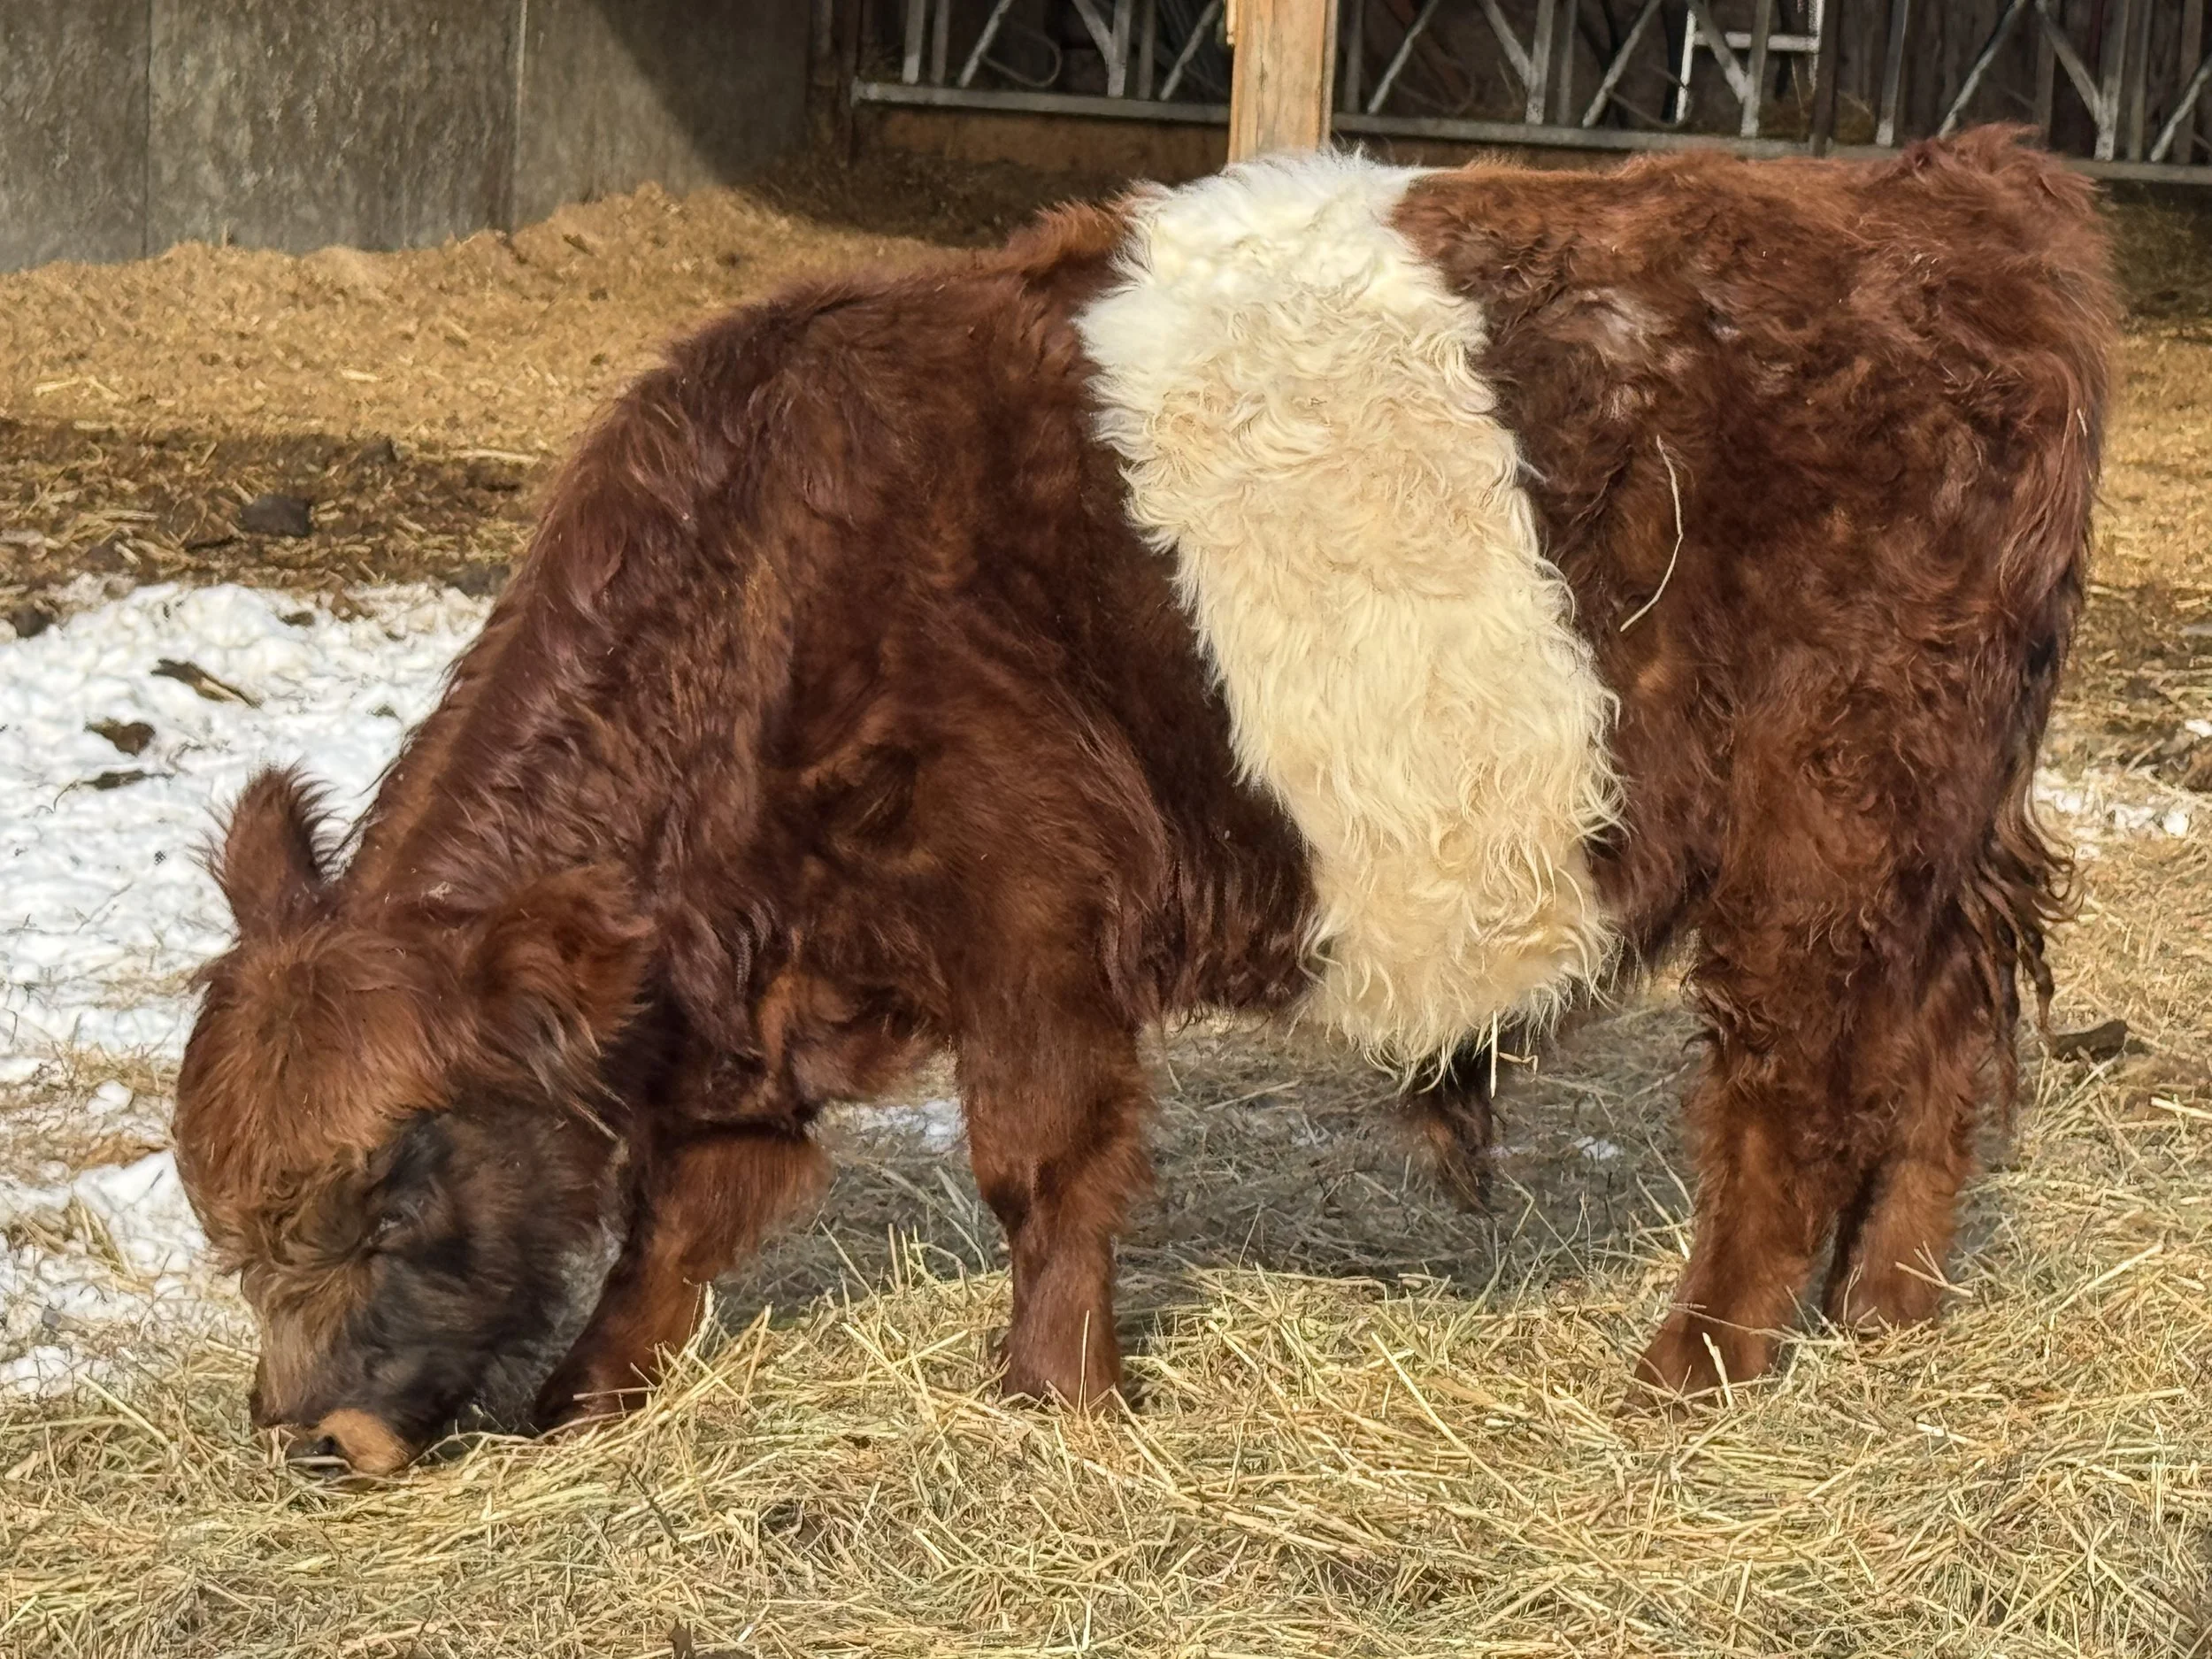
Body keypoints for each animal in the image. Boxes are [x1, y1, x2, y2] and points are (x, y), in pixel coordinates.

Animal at [172, 128, 2115, 1474]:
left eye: (396, 1183)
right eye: (226, 1216)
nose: (318, 1438)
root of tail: (1945, 190)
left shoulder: (1030, 907)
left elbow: (1042, 1165)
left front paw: (1054, 1399)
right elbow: (678, 1203)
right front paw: (588, 1394)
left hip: (1831, 815)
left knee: (1791, 1090)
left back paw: (1696, 1367)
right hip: (1939, 829)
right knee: (1946, 1044)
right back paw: (1887, 1320)